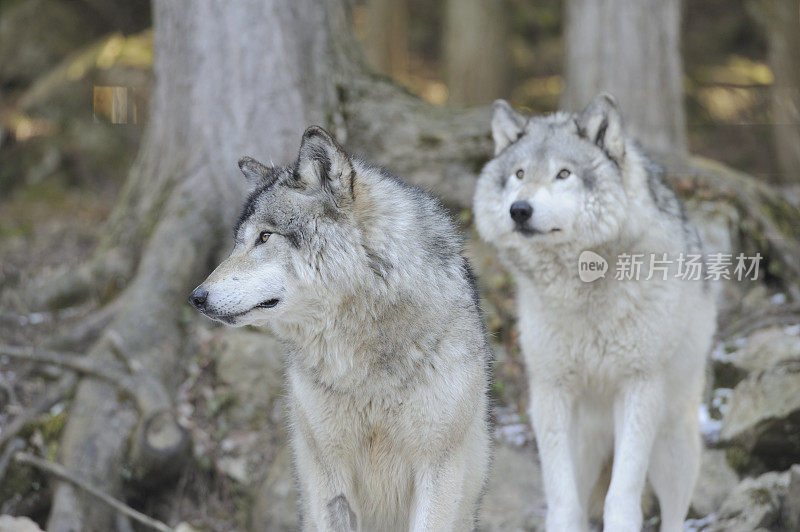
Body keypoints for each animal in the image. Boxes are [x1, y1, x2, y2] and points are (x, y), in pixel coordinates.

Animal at [472, 94, 716, 532]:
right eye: (519, 173)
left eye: (563, 174)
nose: (520, 209)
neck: (581, 291)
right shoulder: (551, 392)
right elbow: (562, 501)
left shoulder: (639, 387)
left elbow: (622, 498)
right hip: (586, 448)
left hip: (672, 446)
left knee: (674, 512)